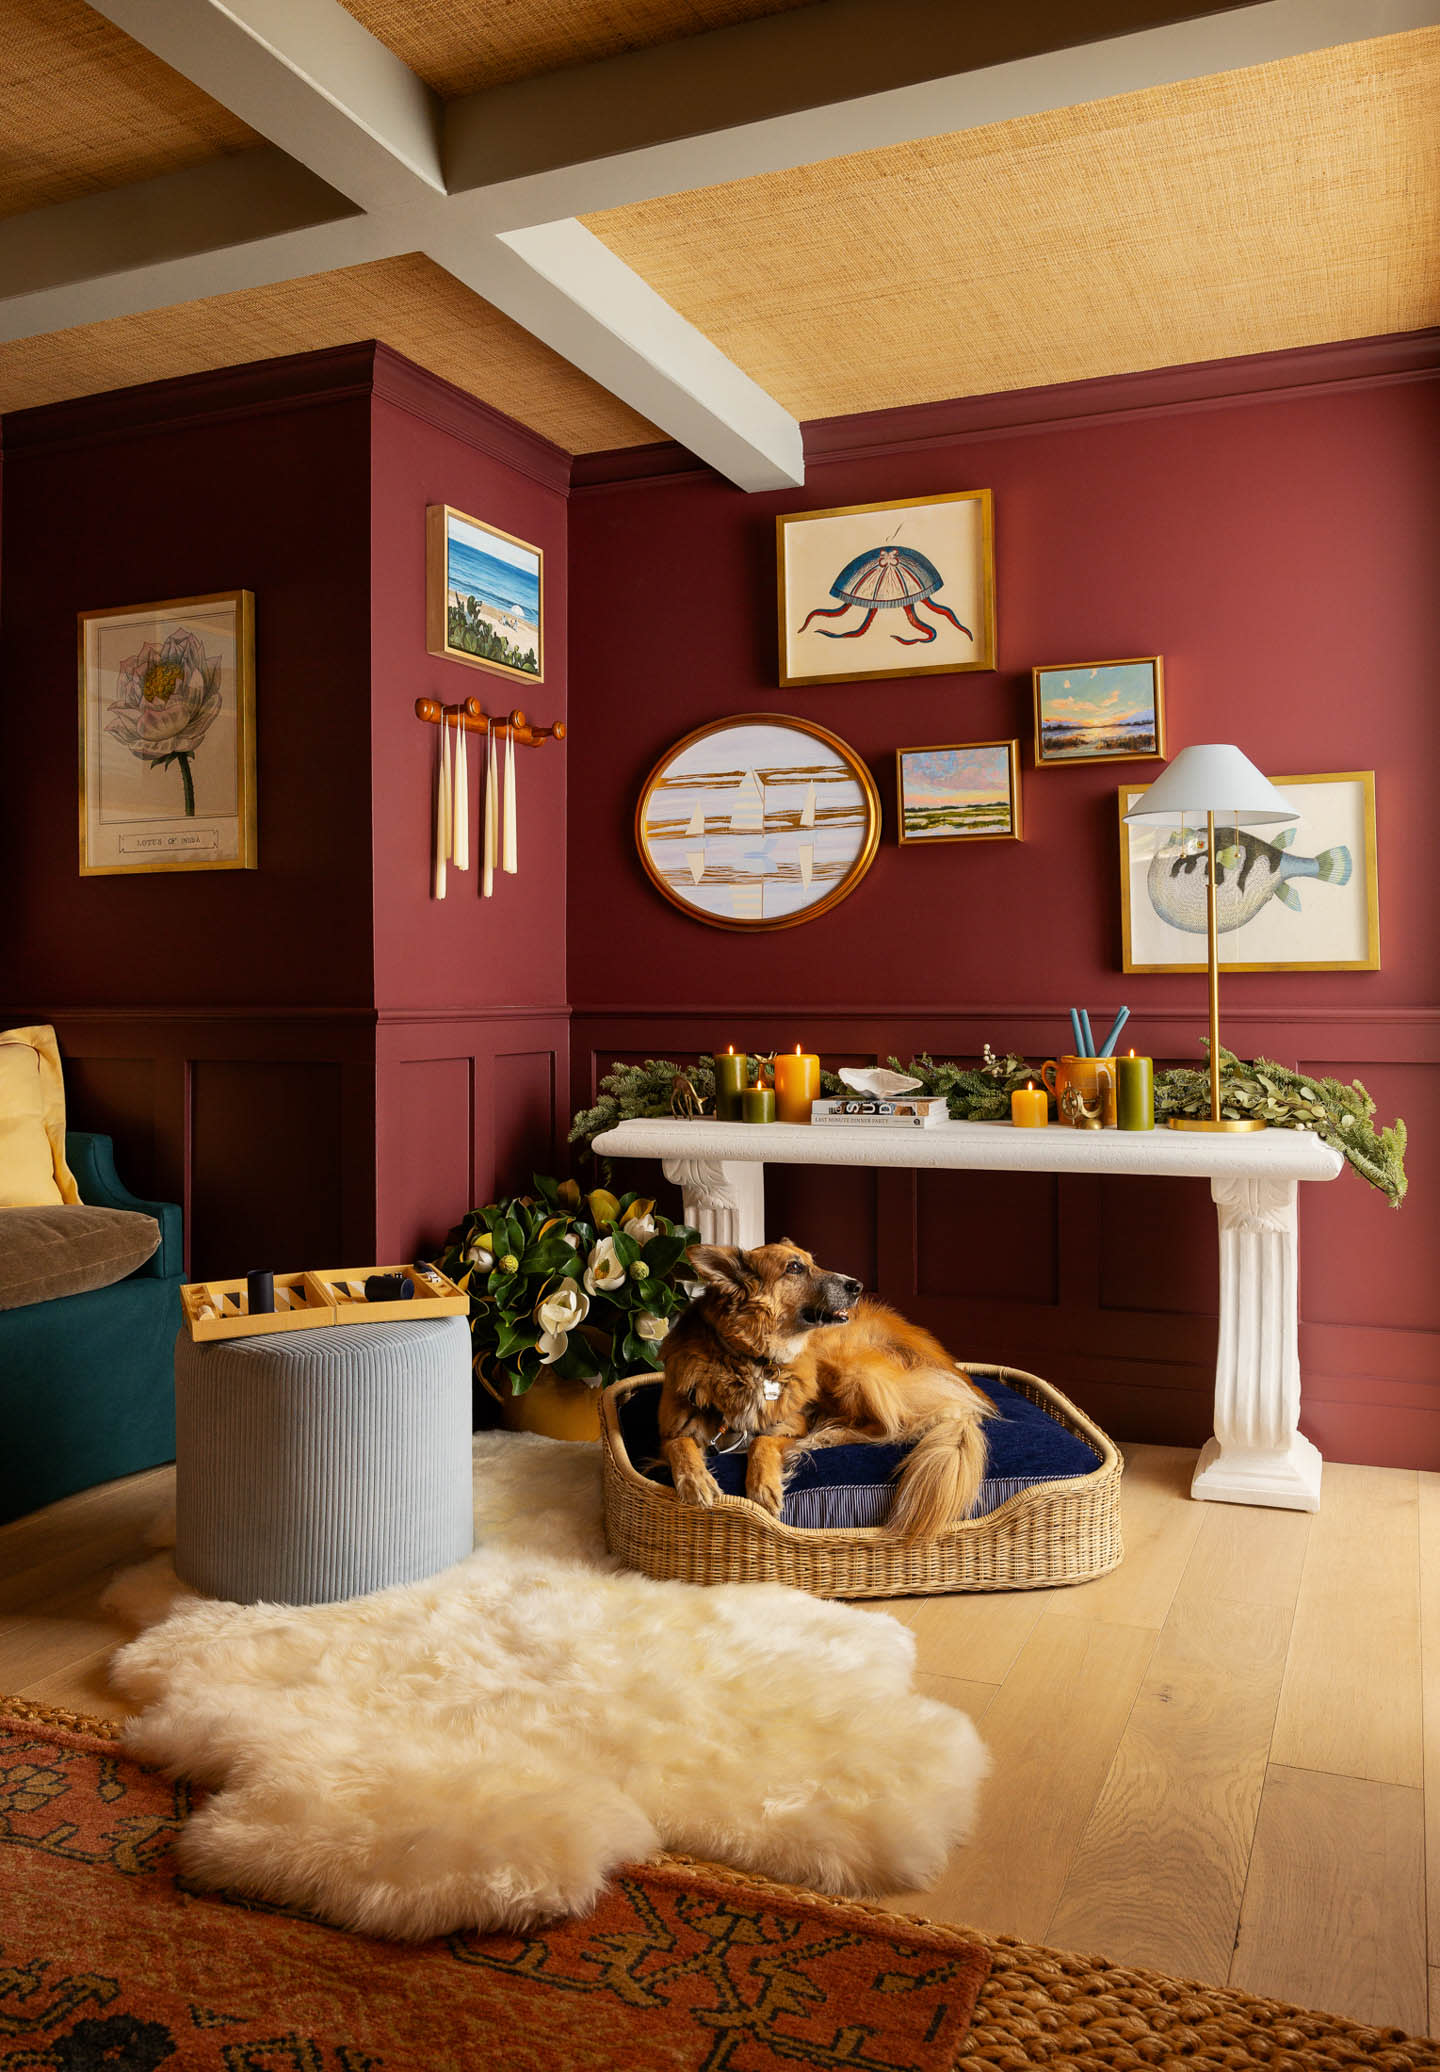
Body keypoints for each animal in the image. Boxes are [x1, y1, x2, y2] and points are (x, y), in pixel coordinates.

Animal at [663, 1243, 990, 1541]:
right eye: (794, 1267)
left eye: (812, 1262)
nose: (857, 1286)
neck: (750, 1359)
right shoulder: (672, 1427)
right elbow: (680, 1444)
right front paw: (695, 1481)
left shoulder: (792, 1423)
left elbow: (762, 1441)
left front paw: (763, 1485)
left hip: (848, 1367)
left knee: (898, 1424)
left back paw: (823, 1436)